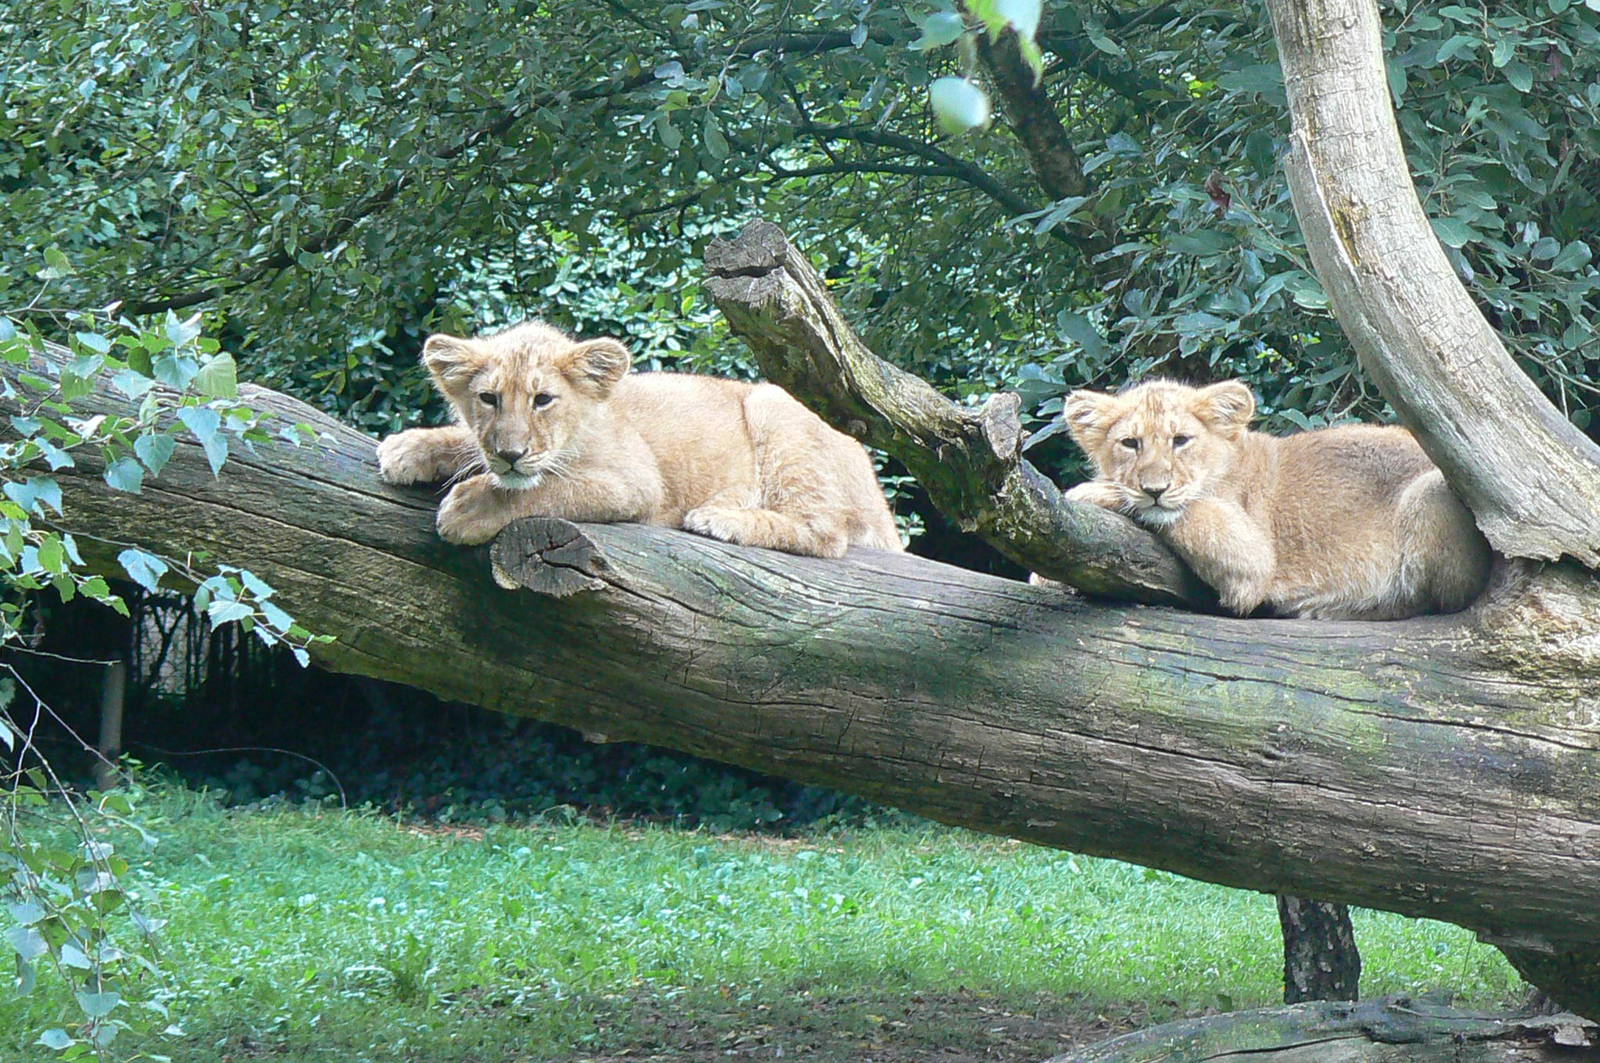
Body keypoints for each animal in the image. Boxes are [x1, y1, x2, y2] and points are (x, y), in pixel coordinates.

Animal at [376, 321, 903, 558]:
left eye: (543, 400)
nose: (509, 455)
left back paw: (718, 518)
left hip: (775, 402)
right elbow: (472, 446)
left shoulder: (636, 483)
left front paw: (470, 508)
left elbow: (546, 488)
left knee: (825, 532)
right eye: (489, 399)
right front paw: (408, 447)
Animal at [1060, 379, 1491, 619]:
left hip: (1430, 489)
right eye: (1130, 444)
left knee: (1437, 602)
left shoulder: (1251, 559)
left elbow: (1191, 510)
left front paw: (1092, 491)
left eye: (1180, 440)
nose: (1154, 489)